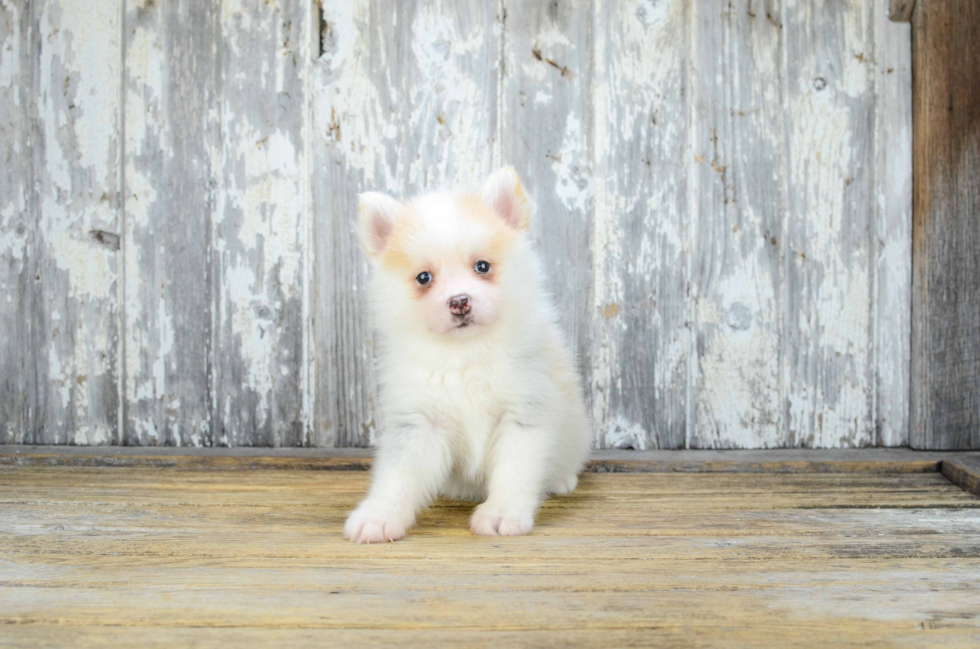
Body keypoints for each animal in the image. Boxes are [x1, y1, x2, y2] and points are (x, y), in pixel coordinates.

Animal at [344, 166, 588, 540]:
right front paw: (379, 516)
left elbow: (514, 470)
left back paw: (561, 478)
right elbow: (398, 476)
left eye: (482, 267)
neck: (465, 355)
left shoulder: (523, 413)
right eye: (424, 277)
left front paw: (502, 513)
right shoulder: (419, 422)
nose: (459, 301)